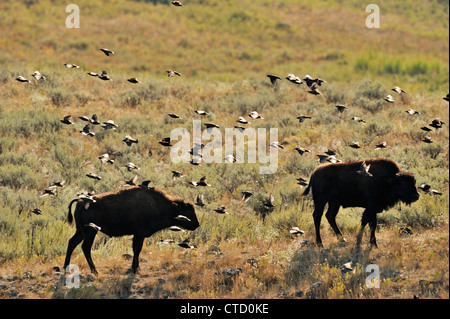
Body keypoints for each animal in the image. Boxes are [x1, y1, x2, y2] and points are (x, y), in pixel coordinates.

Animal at [62, 188, 199, 276]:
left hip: (81, 232)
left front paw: (136, 268)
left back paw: (66, 268)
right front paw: (134, 269)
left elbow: (136, 251)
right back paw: (95, 271)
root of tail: (80, 202)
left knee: (72, 242)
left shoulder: (139, 235)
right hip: (90, 232)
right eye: (187, 212)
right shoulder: (139, 234)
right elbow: (136, 250)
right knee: (85, 247)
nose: (197, 224)